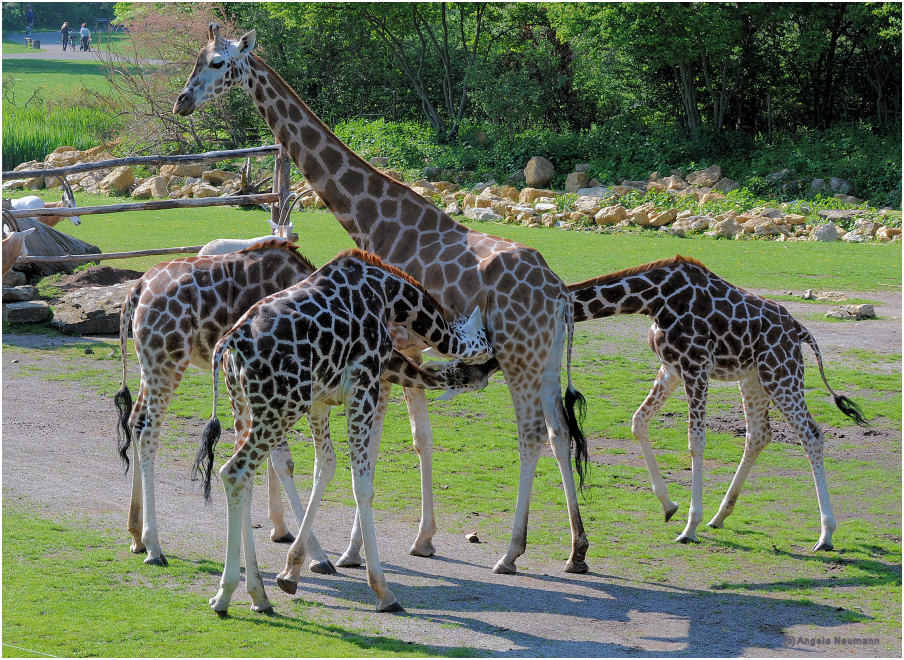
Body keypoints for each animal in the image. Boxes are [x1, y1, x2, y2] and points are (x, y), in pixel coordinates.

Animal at [115, 241, 490, 568]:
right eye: (484, 340)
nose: (490, 367)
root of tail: (136, 292)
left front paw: (282, 532)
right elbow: (288, 462)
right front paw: (315, 551)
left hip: (153, 365)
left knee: (135, 421)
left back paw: (136, 536)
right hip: (168, 363)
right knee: (149, 432)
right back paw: (155, 547)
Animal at [175, 23, 592, 576]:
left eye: (219, 64)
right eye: (197, 58)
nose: (182, 101)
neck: (379, 221)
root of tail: (558, 293)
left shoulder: (389, 350)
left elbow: (373, 446)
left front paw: (351, 552)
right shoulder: (404, 352)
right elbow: (419, 440)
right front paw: (421, 540)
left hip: (519, 355)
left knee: (531, 436)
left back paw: (510, 552)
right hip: (544, 355)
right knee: (560, 433)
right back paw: (577, 550)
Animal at [568, 256, 864, 552]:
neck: (653, 299)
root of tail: (799, 330)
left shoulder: (696, 366)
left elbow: (695, 442)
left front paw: (690, 527)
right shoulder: (672, 368)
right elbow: (638, 421)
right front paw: (668, 506)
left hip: (781, 373)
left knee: (811, 435)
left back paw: (825, 535)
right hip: (754, 378)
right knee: (759, 434)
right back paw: (720, 516)